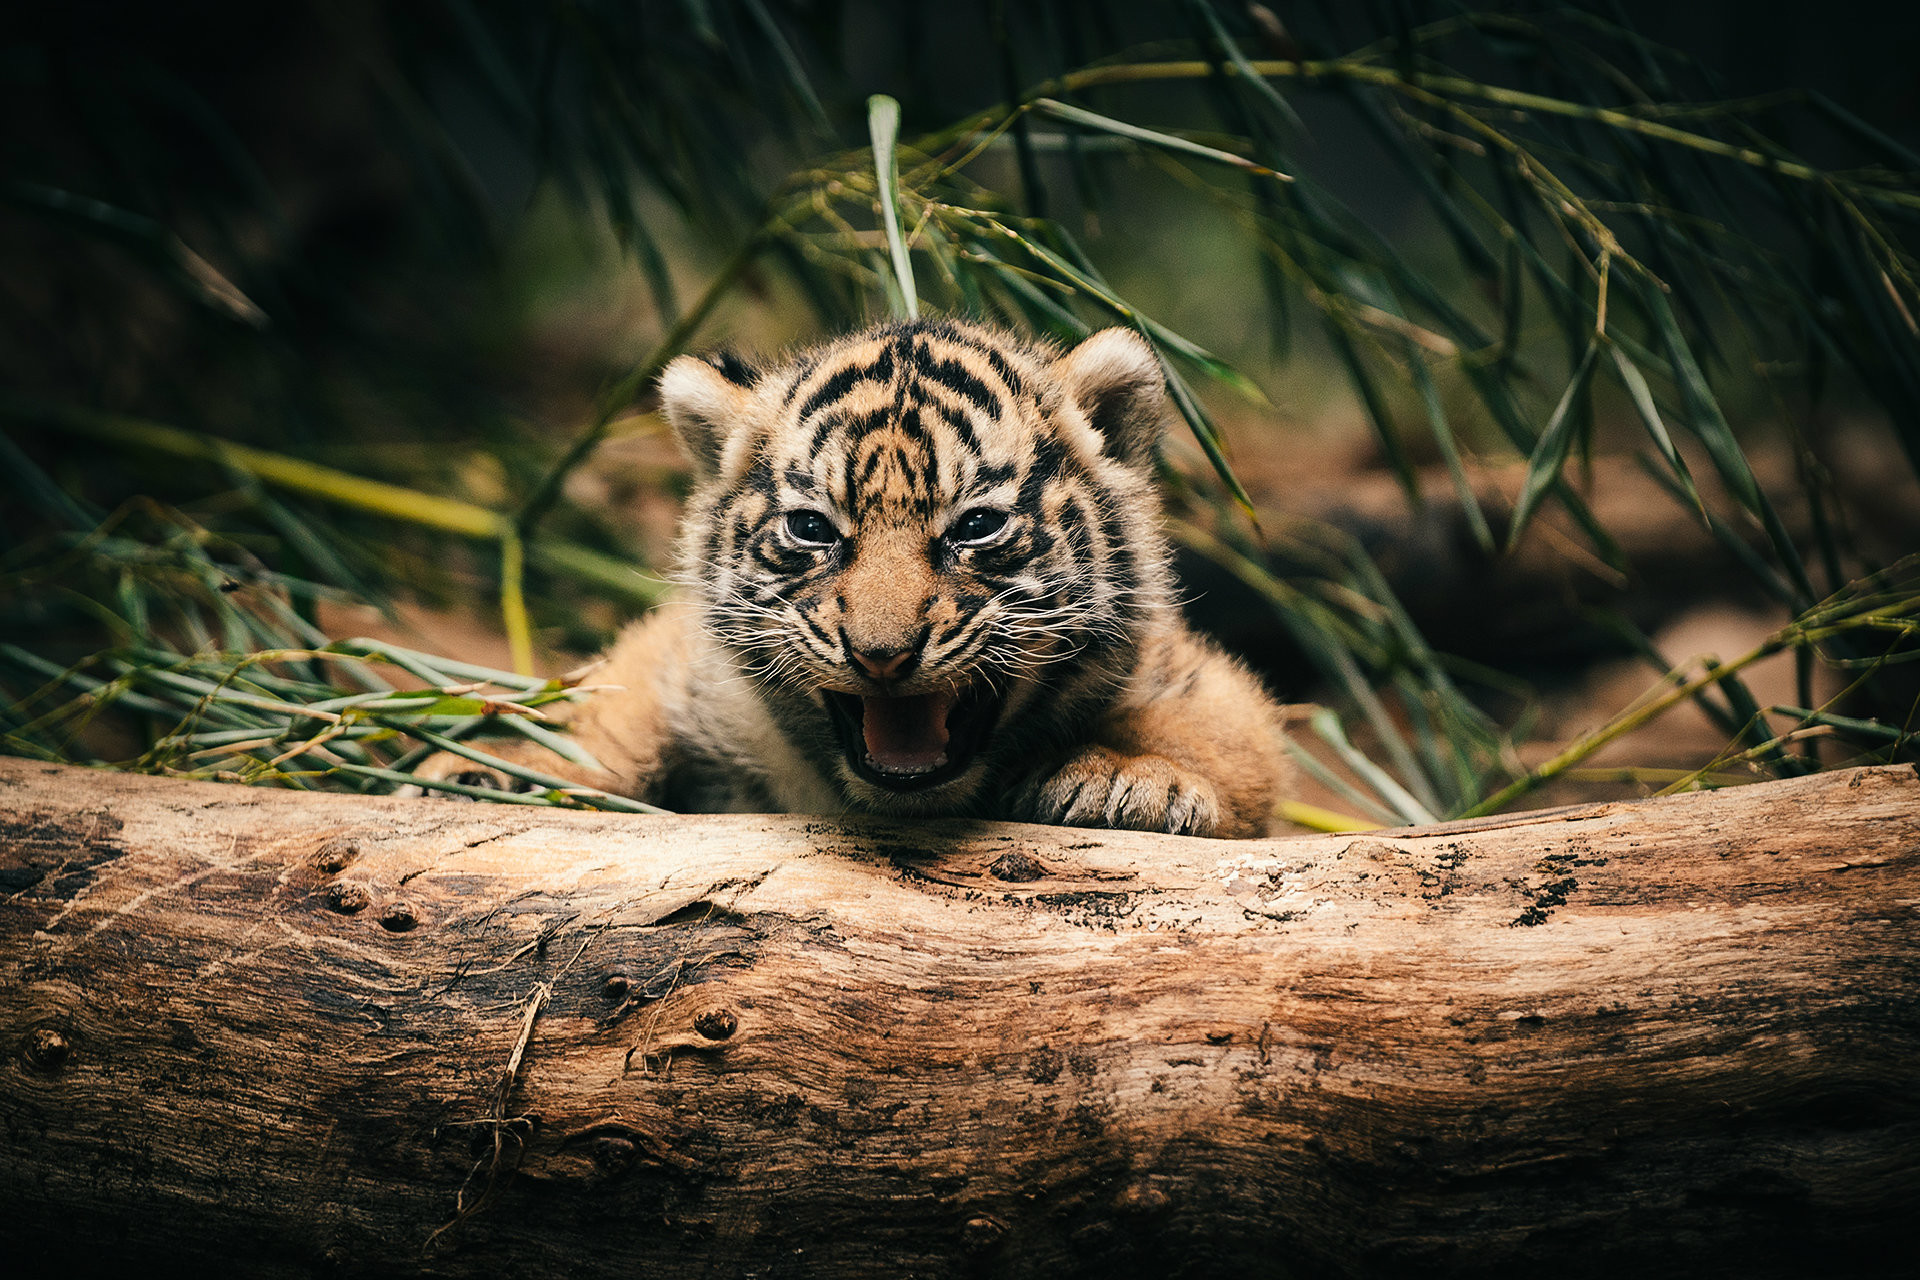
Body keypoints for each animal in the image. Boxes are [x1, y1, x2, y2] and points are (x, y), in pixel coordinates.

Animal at [422, 318, 1289, 837]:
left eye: (976, 526)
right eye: (812, 529)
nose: (881, 655)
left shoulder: (1195, 675)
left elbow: (1222, 729)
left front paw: (1126, 779)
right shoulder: (682, 661)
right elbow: (612, 697)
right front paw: (499, 766)